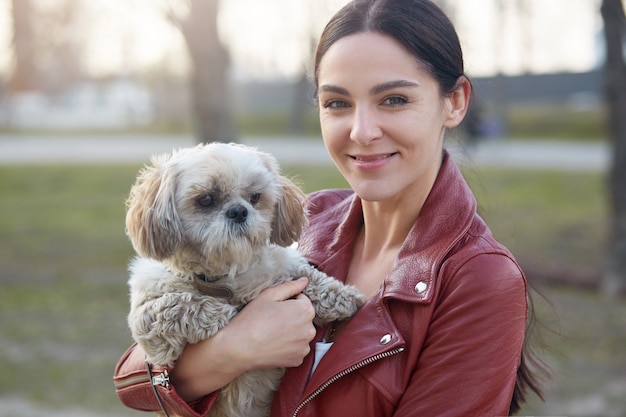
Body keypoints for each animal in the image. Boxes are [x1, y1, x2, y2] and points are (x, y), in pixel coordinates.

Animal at [124, 142, 364, 416]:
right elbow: (176, 305)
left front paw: (343, 297)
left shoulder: (283, 265)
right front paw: (222, 314)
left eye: (255, 197)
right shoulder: (148, 327)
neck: (222, 277)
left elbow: (307, 275)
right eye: (206, 199)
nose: (238, 211)